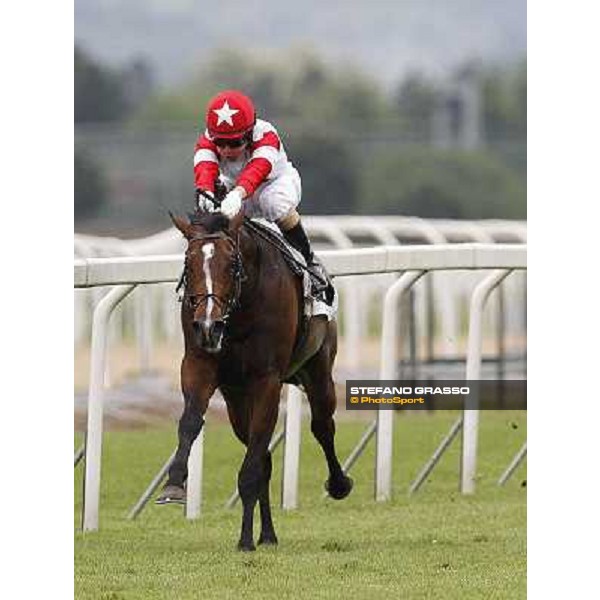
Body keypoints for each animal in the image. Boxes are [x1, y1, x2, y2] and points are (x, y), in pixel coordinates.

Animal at [156, 209, 352, 552]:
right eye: (188, 265)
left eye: (231, 264)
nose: (208, 325)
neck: (239, 312)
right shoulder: (198, 364)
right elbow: (190, 421)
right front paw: (174, 484)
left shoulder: (267, 380)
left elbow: (252, 467)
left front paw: (245, 539)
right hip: (236, 399)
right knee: (264, 455)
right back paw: (268, 534)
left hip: (319, 370)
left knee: (322, 426)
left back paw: (338, 484)